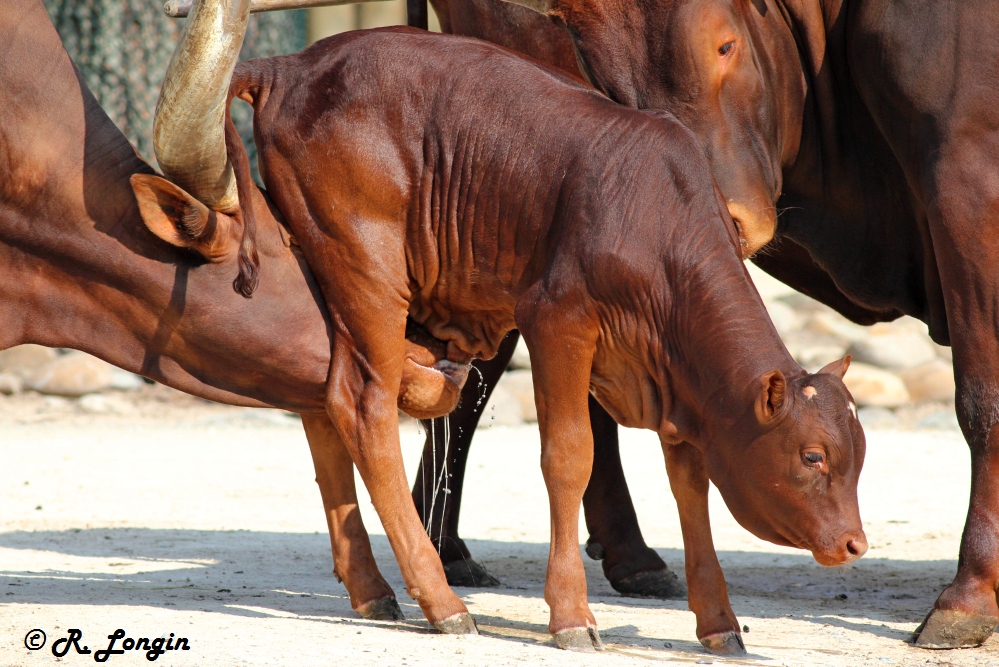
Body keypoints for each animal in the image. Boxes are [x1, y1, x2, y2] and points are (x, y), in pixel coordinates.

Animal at [428, 0, 999, 652]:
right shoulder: (963, 179)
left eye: (726, 46)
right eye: (601, 73)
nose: (855, 543)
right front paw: (969, 597)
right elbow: (983, 404)